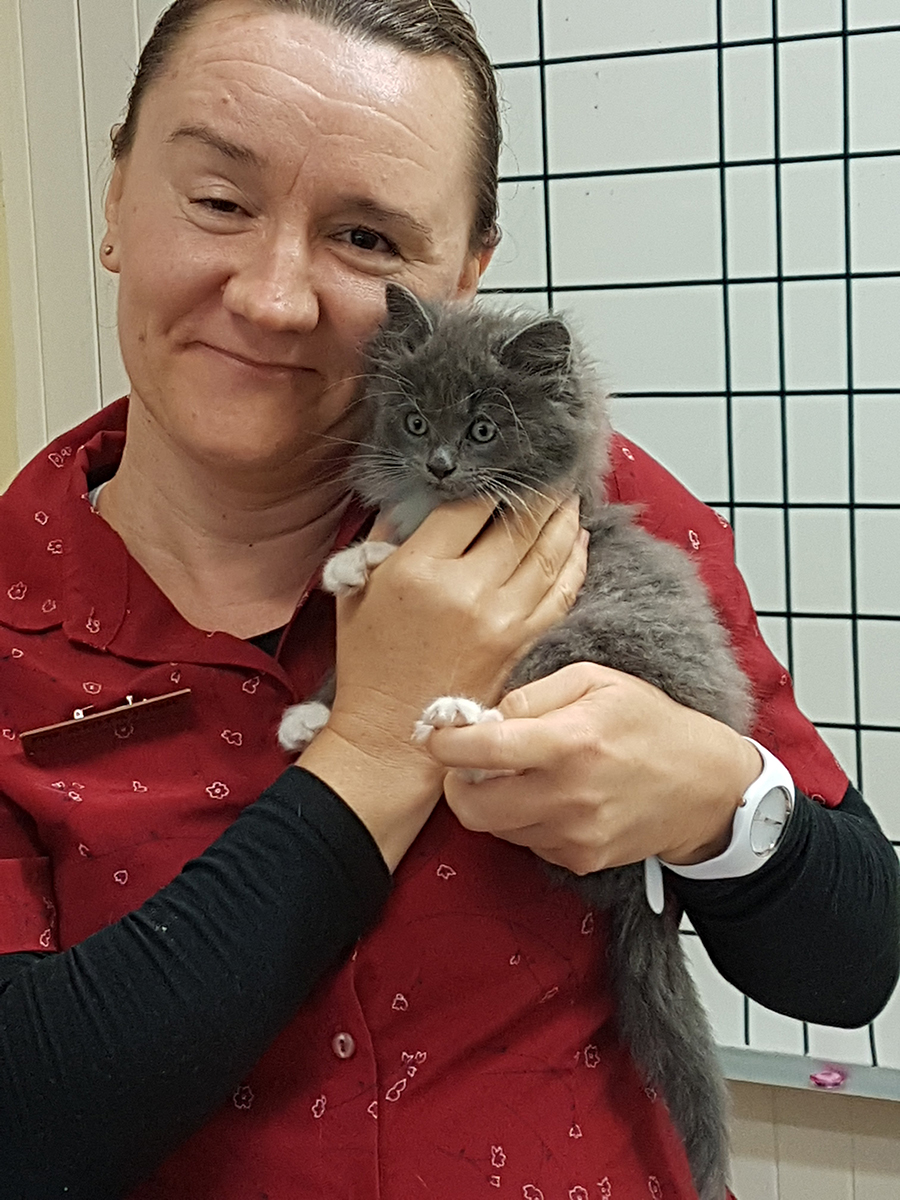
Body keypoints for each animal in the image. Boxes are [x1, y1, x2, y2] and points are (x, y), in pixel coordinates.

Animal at [282, 283, 753, 1200]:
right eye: (416, 422)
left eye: (482, 429)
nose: (438, 466)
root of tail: (648, 885)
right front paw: (333, 637)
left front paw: (356, 566)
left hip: (588, 640)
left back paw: (458, 719)